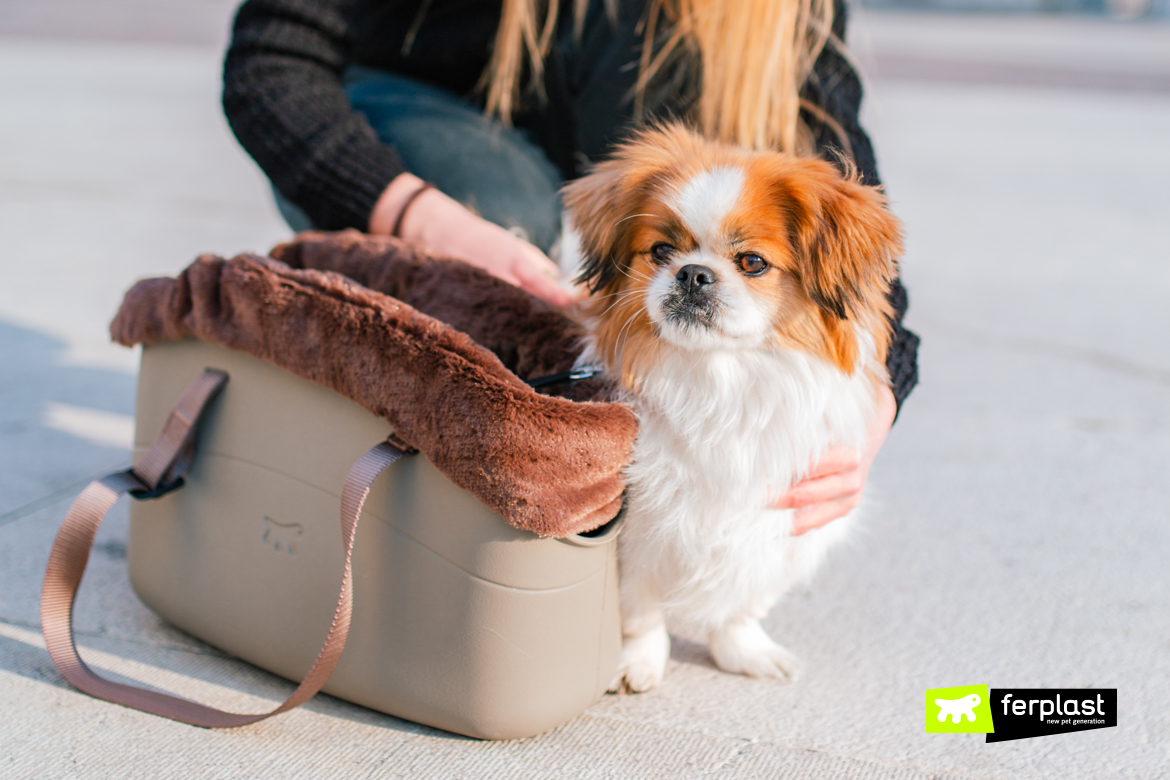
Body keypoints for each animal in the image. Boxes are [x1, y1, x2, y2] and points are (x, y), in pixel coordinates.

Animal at [561, 125, 898, 692]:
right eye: (661, 251)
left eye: (753, 263)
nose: (693, 274)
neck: (721, 380)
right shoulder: (638, 537)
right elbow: (641, 612)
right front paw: (636, 662)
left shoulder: (781, 529)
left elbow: (744, 604)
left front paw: (745, 650)